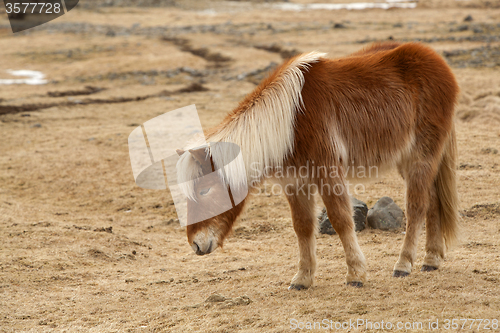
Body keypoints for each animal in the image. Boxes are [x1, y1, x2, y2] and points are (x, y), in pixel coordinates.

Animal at [177, 41, 460, 290]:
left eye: (204, 191)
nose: (196, 245)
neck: (291, 122)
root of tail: (440, 63)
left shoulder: (328, 173)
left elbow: (341, 219)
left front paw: (356, 274)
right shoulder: (294, 182)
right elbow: (302, 227)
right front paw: (303, 278)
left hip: (421, 156)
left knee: (417, 206)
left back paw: (404, 264)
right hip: (407, 159)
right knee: (432, 200)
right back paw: (431, 259)